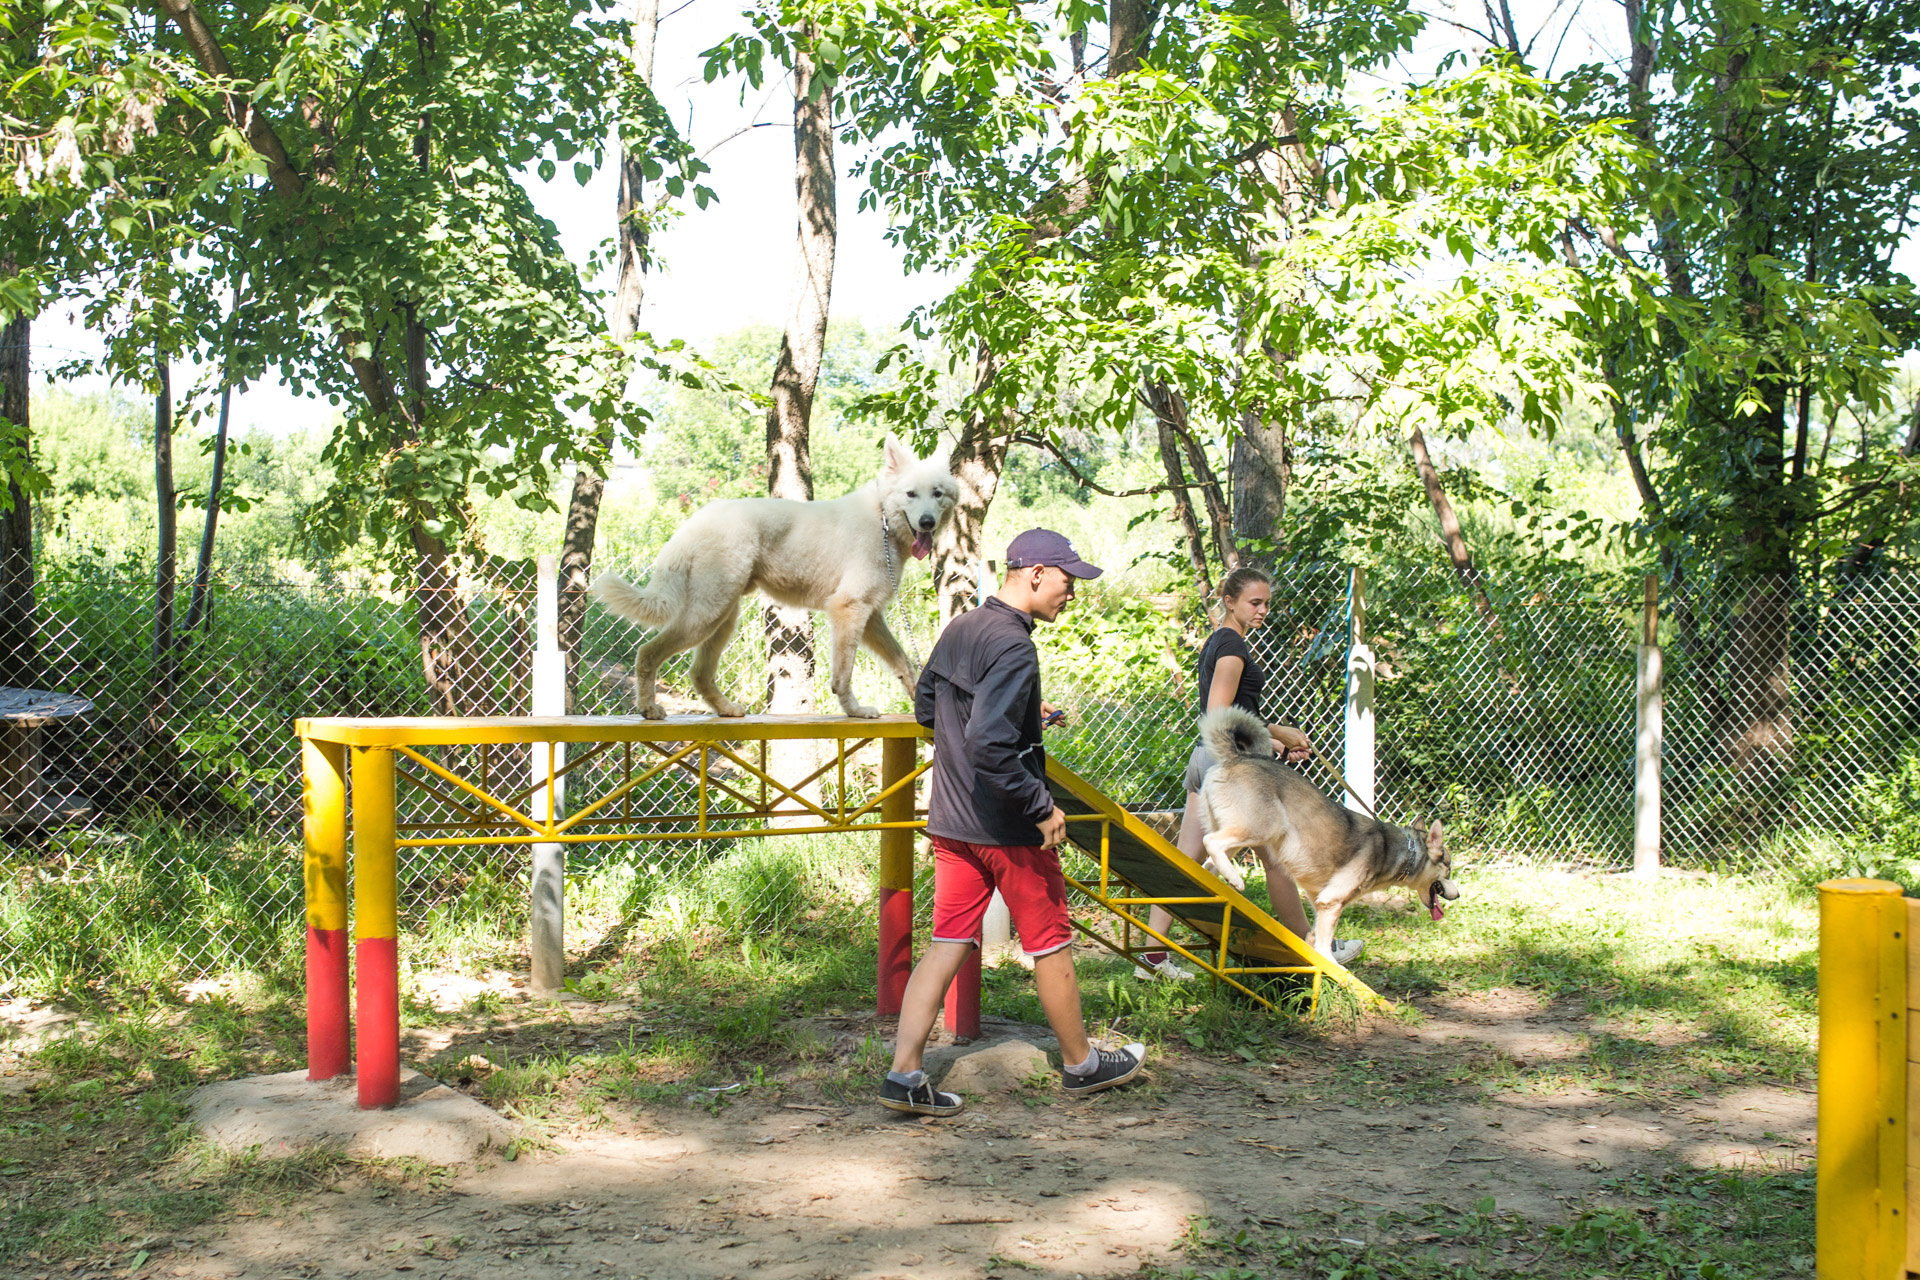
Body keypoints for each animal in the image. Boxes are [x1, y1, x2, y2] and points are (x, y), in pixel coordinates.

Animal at [587, 437, 956, 721]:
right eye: (911, 494)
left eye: (937, 494)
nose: (926, 522)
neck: (883, 520)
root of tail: (695, 521)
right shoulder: (849, 609)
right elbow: (843, 675)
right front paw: (854, 711)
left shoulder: (869, 616)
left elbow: (903, 661)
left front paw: (919, 698)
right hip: (706, 616)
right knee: (648, 653)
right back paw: (649, 708)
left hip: (722, 617)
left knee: (699, 674)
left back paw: (726, 709)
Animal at [1182, 706, 1451, 967]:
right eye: (1449, 871)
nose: (1455, 895)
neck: (1400, 850)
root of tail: (1236, 756)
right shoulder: (1332, 901)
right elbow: (1324, 944)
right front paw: (1332, 964)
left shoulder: (1319, 898)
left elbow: (1316, 933)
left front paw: (1313, 945)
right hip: (1265, 827)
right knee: (1211, 842)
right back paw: (1235, 879)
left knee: (1210, 859)